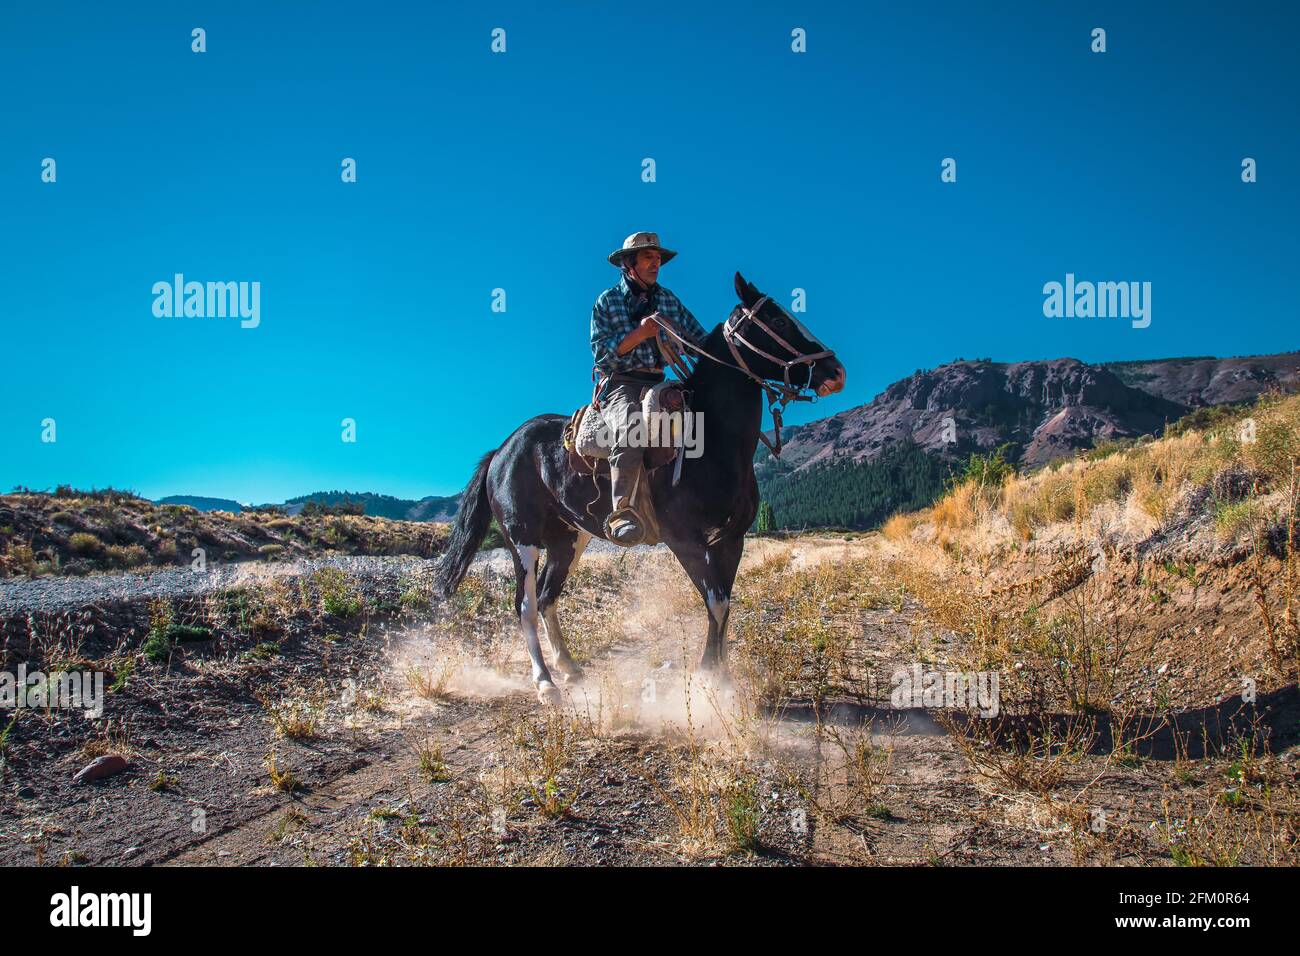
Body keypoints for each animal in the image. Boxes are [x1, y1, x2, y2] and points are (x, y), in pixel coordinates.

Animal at [433, 272, 847, 705]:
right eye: (778, 320)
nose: (836, 372)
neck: (712, 438)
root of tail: (503, 449)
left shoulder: (730, 540)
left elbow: (724, 605)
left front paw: (723, 681)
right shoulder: (684, 539)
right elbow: (716, 603)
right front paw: (707, 680)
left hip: (568, 540)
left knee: (547, 597)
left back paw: (571, 669)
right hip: (523, 540)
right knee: (525, 604)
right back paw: (546, 682)